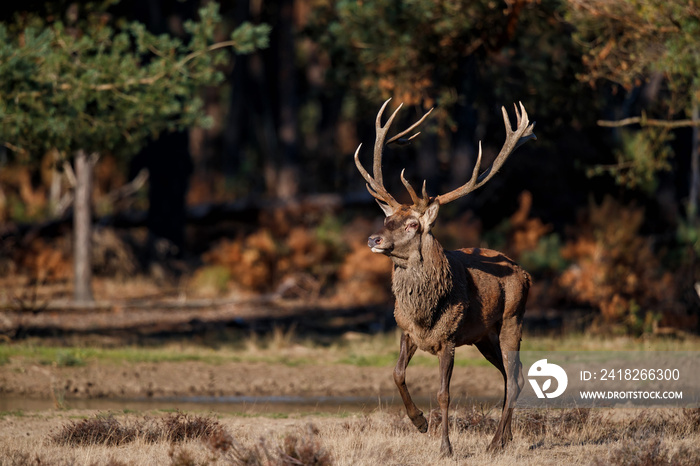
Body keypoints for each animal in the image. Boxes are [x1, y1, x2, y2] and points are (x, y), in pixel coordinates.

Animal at [356, 98, 536, 456]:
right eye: (387, 220)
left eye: (413, 224)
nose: (374, 239)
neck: (425, 315)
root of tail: (525, 274)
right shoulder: (407, 331)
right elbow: (396, 373)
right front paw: (419, 422)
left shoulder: (449, 339)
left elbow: (444, 394)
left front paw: (445, 447)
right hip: (484, 335)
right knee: (514, 376)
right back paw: (505, 438)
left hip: (513, 318)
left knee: (514, 377)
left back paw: (494, 443)